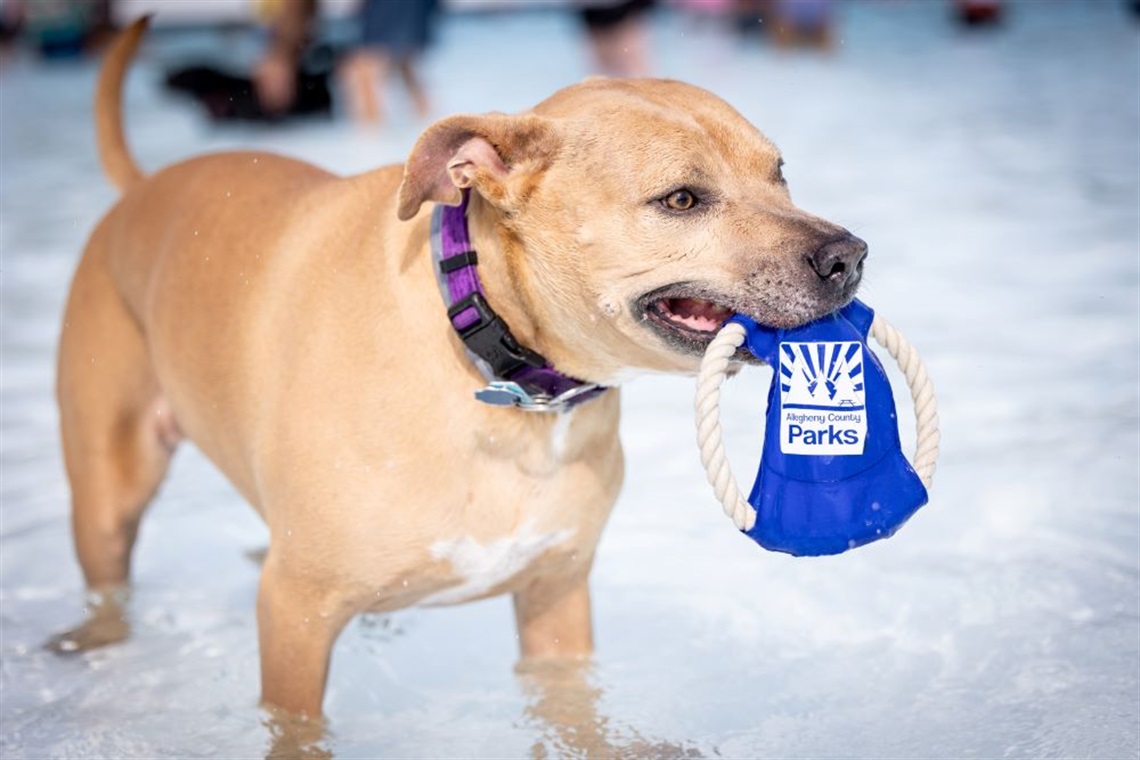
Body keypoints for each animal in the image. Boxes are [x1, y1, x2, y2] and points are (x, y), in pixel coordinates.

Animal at [55, 19, 861, 720]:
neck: (503, 377)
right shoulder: (294, 613)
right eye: (683, 199)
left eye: (779, 173)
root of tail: (139, 188)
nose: (849, 256)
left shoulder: (556, 601)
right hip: (107, 497)